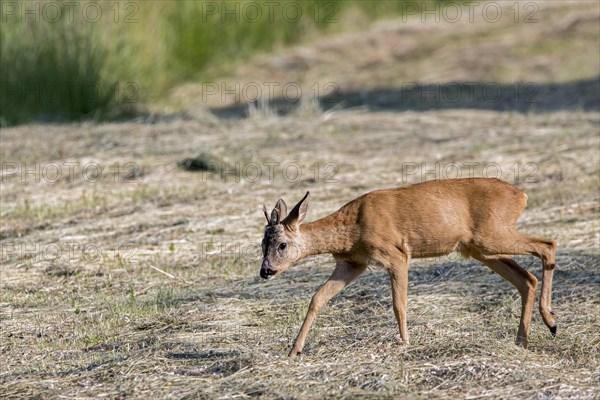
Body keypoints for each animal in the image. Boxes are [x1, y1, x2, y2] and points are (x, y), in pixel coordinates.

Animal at [258, 178, 556, 356]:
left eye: (282, 245)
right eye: (261, 243)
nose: (265, 271)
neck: (353, 227)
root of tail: (521, 195)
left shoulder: (396, 253)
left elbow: (398, 304)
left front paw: (404, 341)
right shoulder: (353, 263)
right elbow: (318, 297)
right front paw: (294, 350)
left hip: (493, 235)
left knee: (547, 244)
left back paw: (550, 320)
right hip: (481, 248)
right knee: (527, 279)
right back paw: (523, 340)